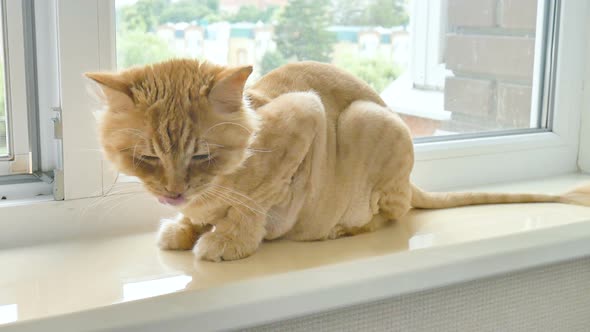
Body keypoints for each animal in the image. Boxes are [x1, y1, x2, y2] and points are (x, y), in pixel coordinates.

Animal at [85, 60, 588, 262]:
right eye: (147, 157)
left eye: (202, 156)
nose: (174, 191)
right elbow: (195, 217)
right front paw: (186, 227)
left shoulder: (303, 114)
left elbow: (251, 207)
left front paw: (227, 239)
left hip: (370, 123)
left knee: (391, 213)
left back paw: (340, 230)